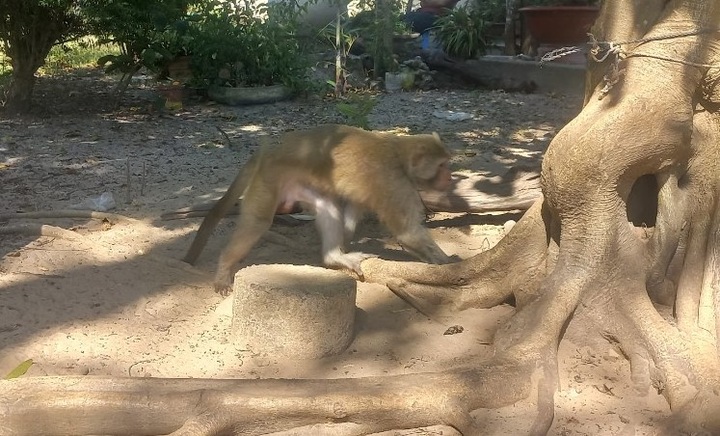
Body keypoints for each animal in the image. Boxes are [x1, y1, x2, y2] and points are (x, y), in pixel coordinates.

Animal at [183, 124, 455, 295]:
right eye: (442, 165)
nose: (450, 176)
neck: (400, 155)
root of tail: (270, 152)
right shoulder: (396, 184)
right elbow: (407, 232)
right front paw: (450, 264)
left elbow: (353, 207)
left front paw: (346, 241)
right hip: (269, 180)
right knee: (257, 223)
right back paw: (224, 268)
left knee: (328, 206)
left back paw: (334, 257)